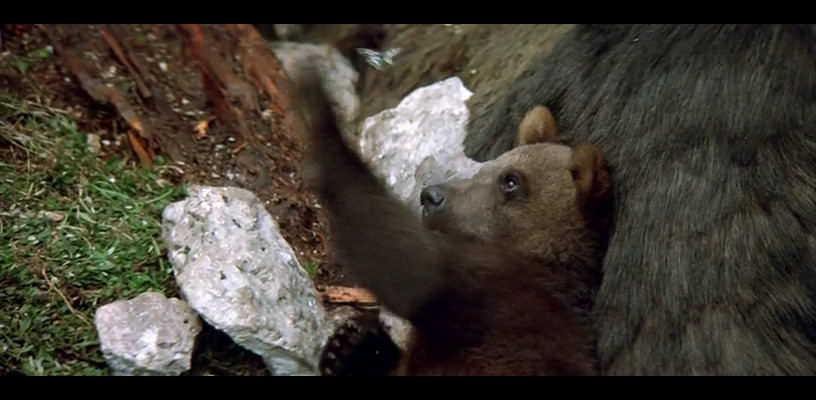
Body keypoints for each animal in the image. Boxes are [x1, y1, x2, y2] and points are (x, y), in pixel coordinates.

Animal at [296, 72, 613, 376]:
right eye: (489, 165)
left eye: (511, 180)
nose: (431, 196)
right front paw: (348, 345)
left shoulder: (494, 296)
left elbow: (403, 261)